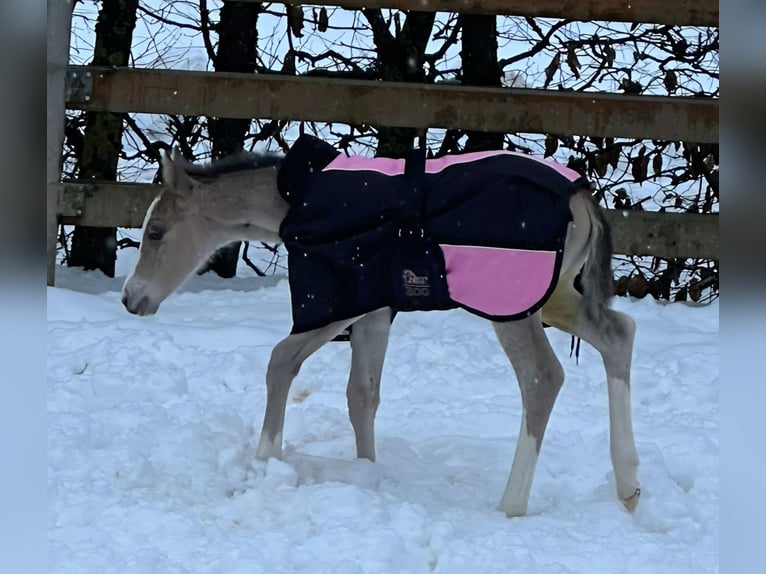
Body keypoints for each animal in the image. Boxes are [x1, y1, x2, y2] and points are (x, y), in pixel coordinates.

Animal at [121, 139, 640, 517]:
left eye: (156, 233)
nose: (131, 298)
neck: (296, 202)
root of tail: (581, 196)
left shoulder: (340, 296)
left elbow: (281, 360)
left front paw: (265, 461)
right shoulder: (375, 308)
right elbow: (362, 393)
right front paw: (365, 472)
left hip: (512, 307)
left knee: (541, 377)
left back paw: (511, 505)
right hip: (556, 298)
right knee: (619, 333)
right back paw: (629, 485)